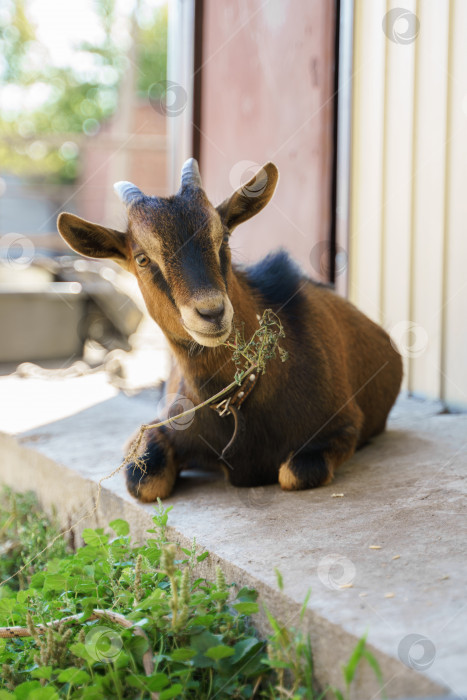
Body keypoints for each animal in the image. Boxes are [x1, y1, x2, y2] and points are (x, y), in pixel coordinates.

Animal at [58, 159, 402, 500]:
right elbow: (143, 481)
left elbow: (297, 472)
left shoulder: (344, 426)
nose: (212, 312)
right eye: (142, 259)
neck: (238, 401)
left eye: (222, 238)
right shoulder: (163, 426)